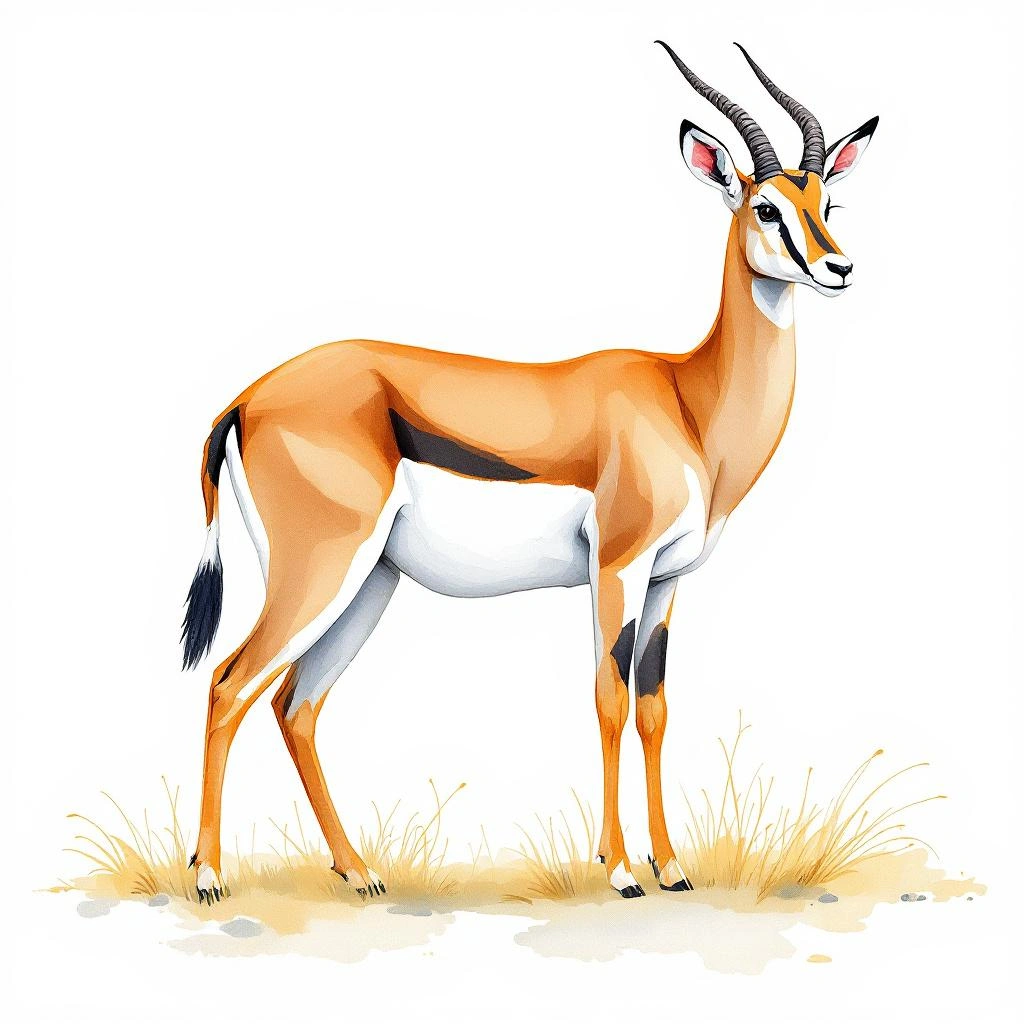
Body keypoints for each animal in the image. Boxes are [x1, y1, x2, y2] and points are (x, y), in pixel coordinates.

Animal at [181, 42, 877, 903]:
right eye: (767, 209)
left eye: (828, 202)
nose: (839, 267)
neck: (688, 398)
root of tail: (245, 399)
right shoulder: (617, 566)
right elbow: (608, 698)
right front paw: (622, 871)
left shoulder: (667, 580)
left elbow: (654, 708)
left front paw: (673, 867)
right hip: (320, 570)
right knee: (228, 683)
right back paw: (210, 878)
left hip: (370, 581)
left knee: (295, 702)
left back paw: (360, 872)